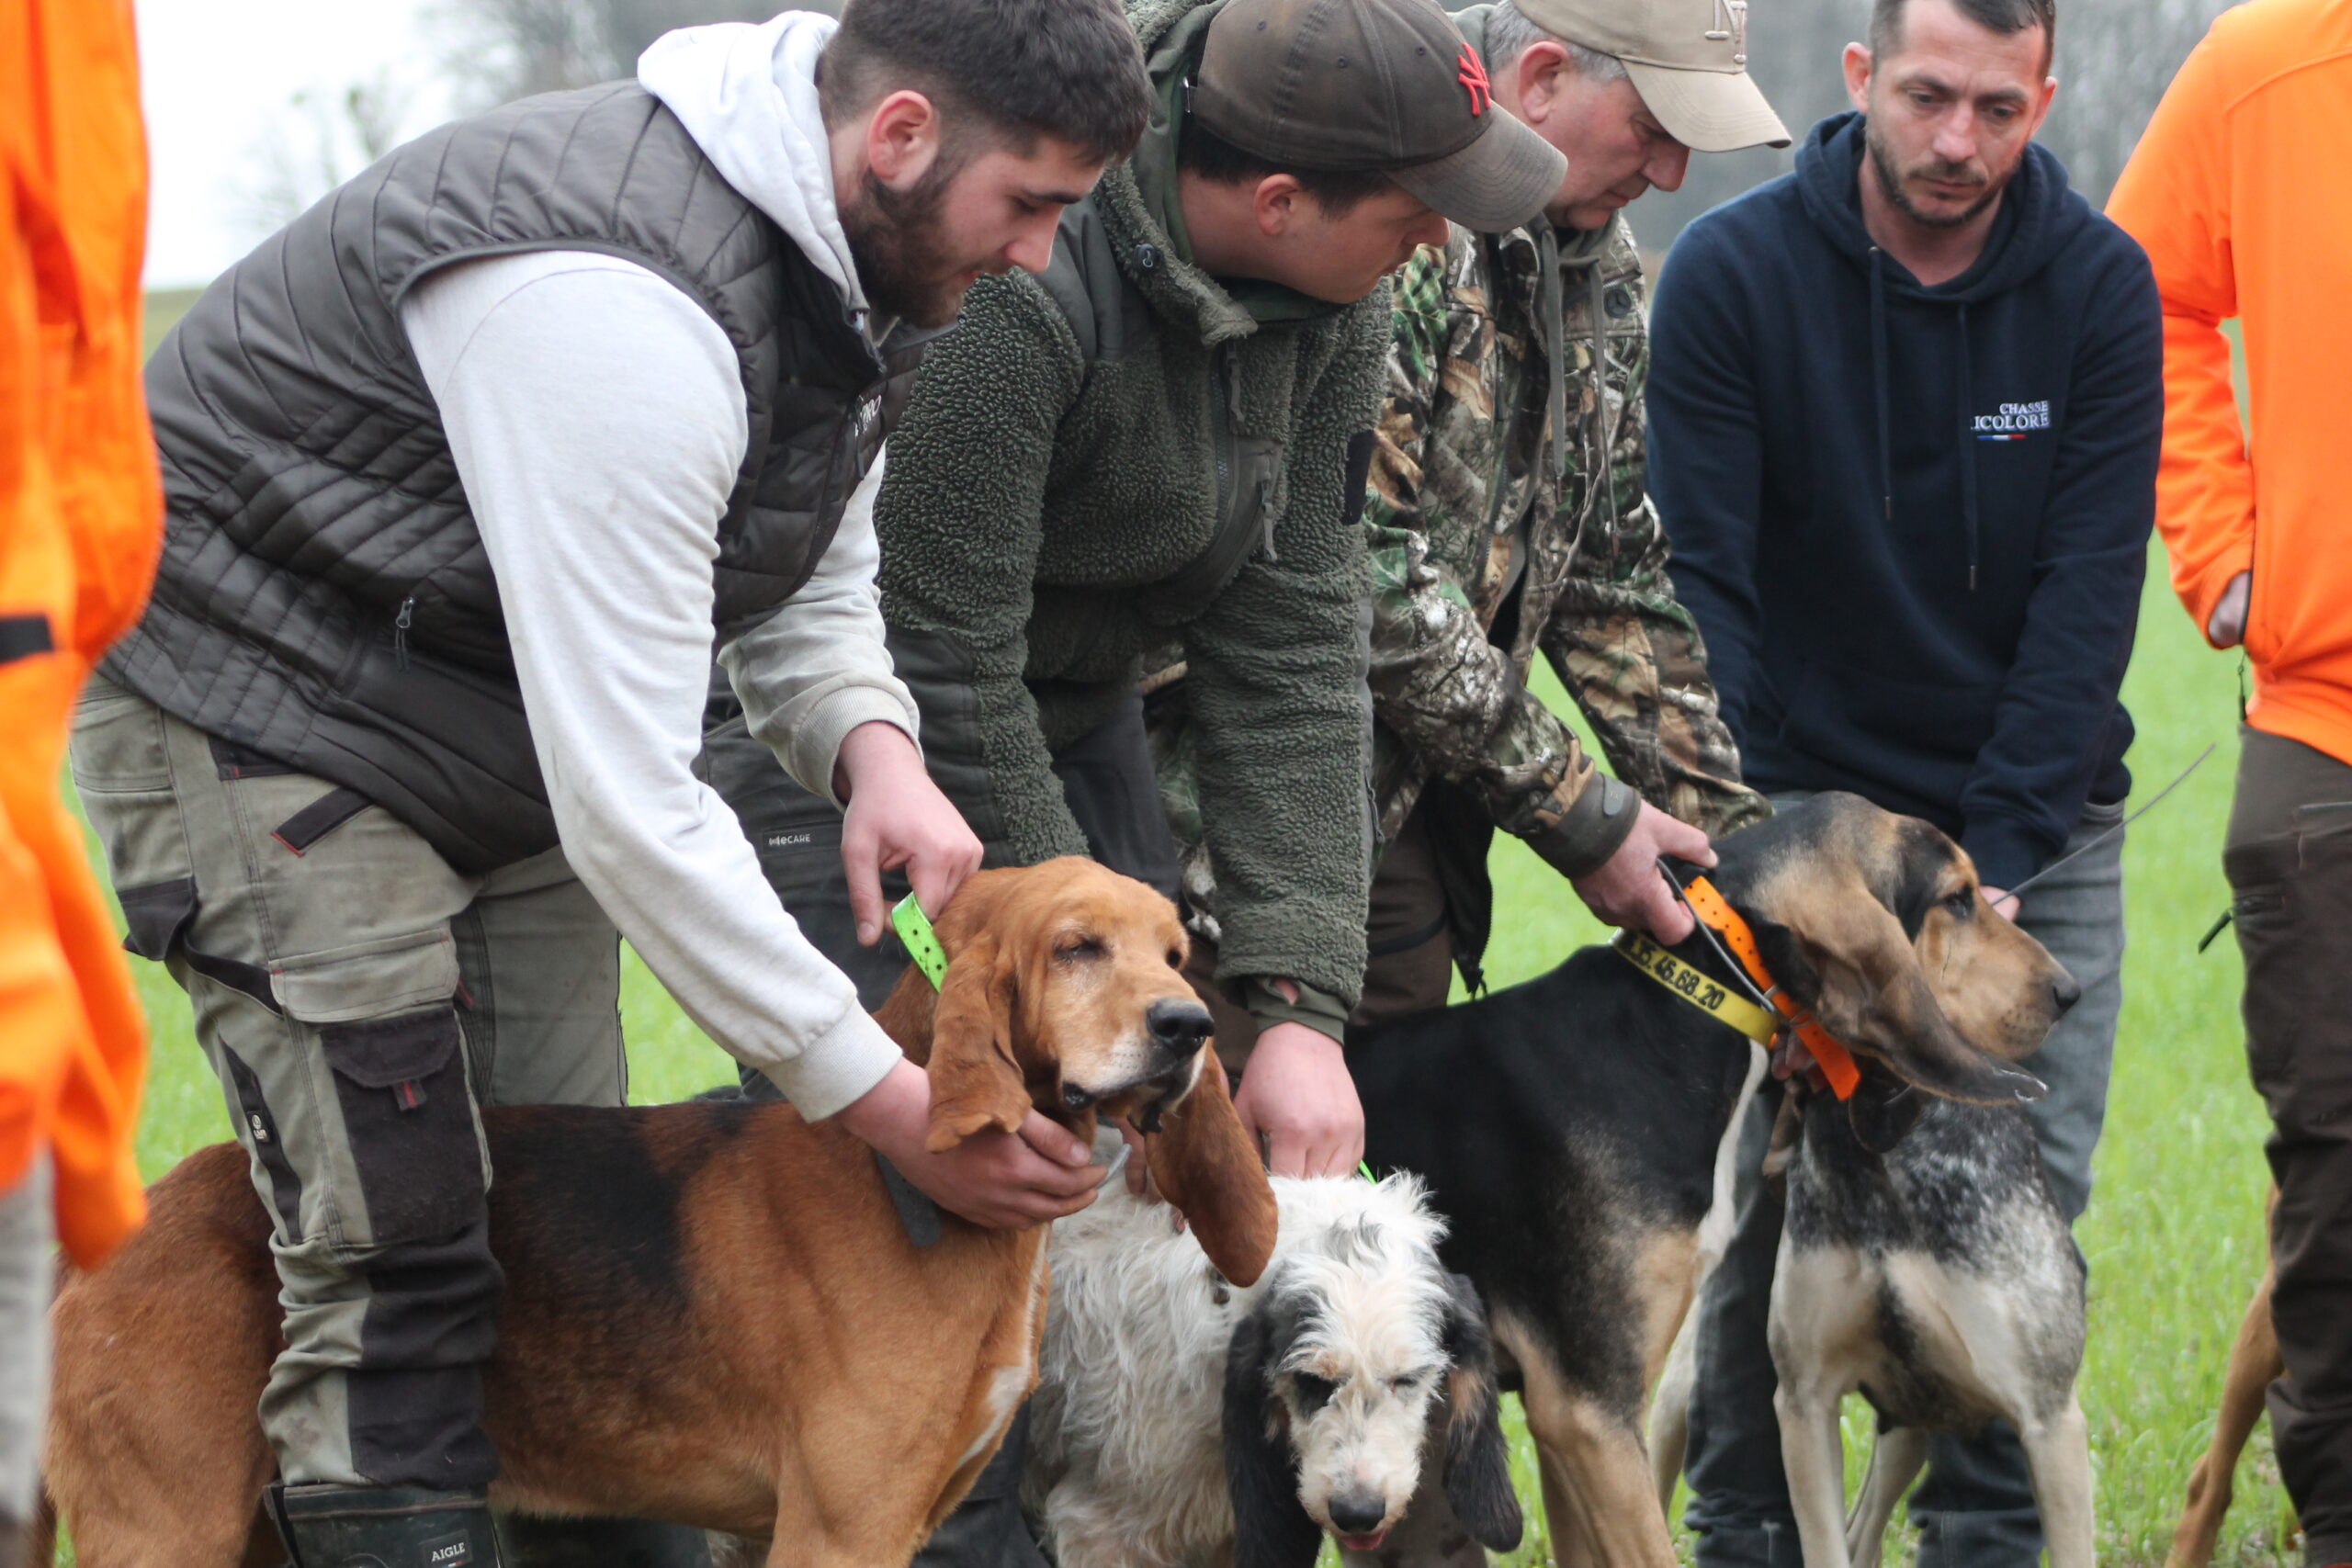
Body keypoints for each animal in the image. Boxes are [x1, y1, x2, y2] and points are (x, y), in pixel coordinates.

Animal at [39, 857, 1279, 1568]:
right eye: (1076, 948)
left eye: (1175, 951)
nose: (1186, 1028)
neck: (909, 1191)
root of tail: (133, 1211)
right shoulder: (839, 1528)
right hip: (170, 1529)